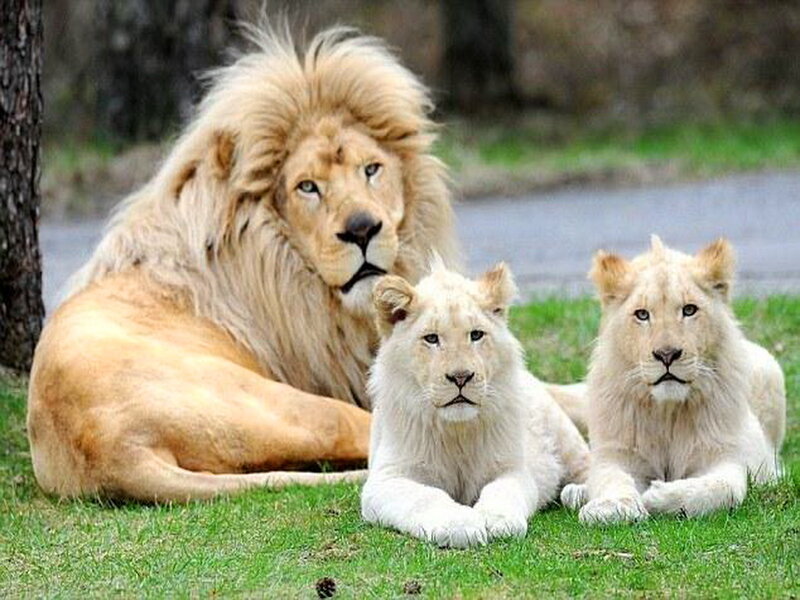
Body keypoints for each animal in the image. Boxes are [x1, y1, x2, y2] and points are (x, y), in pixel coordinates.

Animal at [361, 262, 589, 547]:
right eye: (431, 338)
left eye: (476, 335)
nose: (461, 377)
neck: (457, 431)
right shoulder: (386, 479)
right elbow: (425, 497)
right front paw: (459, 524)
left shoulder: (512, 469)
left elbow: (501, 491)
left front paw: (497, 520)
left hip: (566, 438)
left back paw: (579, 492)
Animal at [561, 236, 785, 524]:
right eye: (642, 314)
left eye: (689, 310)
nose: (666, 354)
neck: (667, 412)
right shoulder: (618, 454)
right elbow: (611, 479)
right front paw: (612, 507)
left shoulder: (725, 457)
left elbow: (721, 489)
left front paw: (657, 496)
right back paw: (576, 492)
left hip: (770, 370)